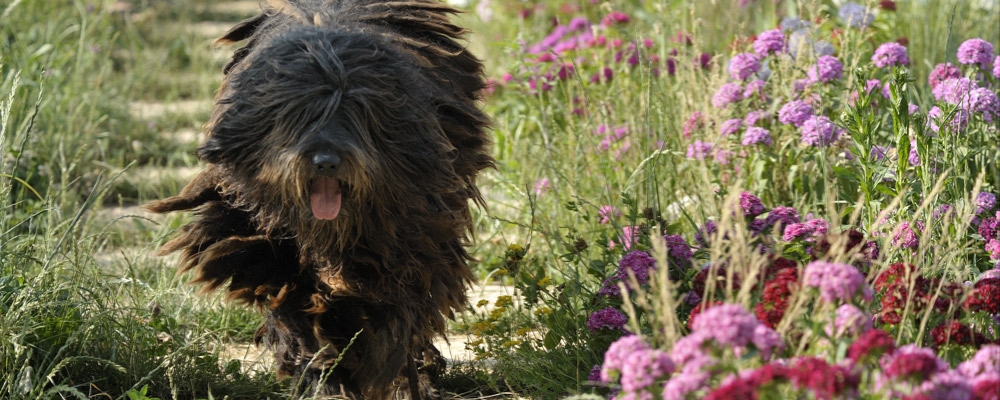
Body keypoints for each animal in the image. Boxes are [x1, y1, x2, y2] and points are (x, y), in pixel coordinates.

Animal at [146, 0, 492, 396]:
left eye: (355, 110)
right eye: (300, 113)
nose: (325, 161)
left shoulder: (413, 245)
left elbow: (398, 318)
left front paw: (399, 377)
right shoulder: (272, 255)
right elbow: (300, 319)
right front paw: (324, 379)